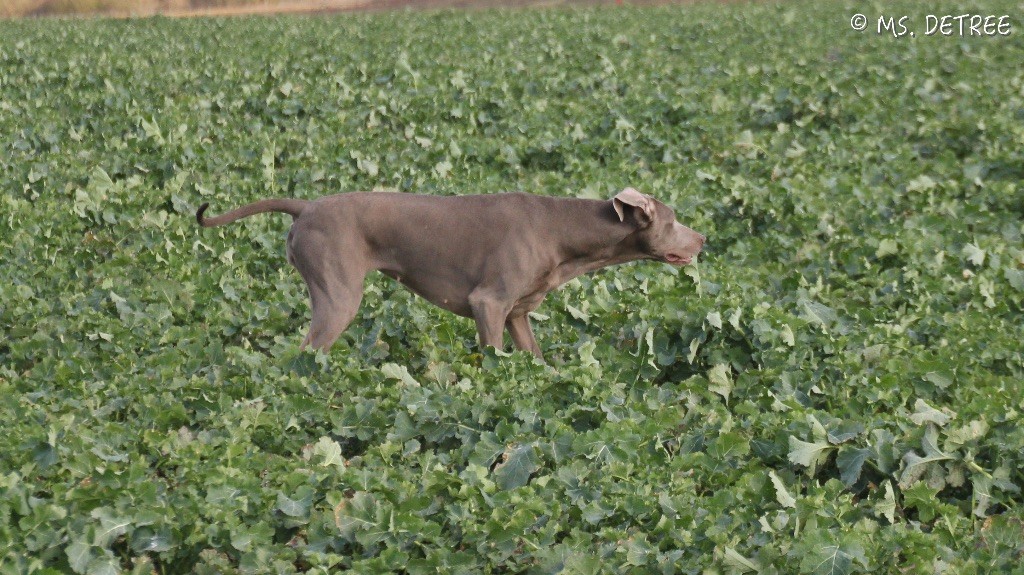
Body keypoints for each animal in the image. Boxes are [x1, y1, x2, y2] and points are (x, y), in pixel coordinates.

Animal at [196, 188, 704, 358]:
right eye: (674, 220)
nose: (703, 240)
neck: (564, 232)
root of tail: (305, 207)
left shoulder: (517, 314)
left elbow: (535, 358)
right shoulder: (489, 305)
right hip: (337, 296)